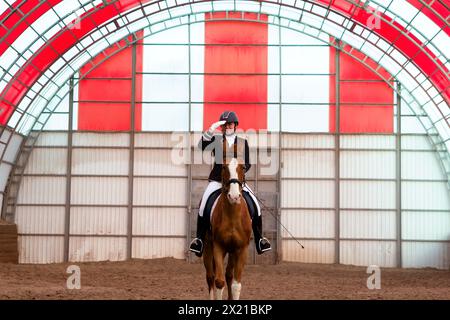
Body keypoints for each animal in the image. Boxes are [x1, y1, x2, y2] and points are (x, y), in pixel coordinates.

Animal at [204, 156, 253, 300]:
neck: (232, 216)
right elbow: (219, 282)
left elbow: (236, 285)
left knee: (229, 275)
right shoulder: (218, 247)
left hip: (232, 251)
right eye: (224, 167)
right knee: (210, 277)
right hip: (208, 247)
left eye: (243, 167)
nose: (234, 196)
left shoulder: (242, 249)